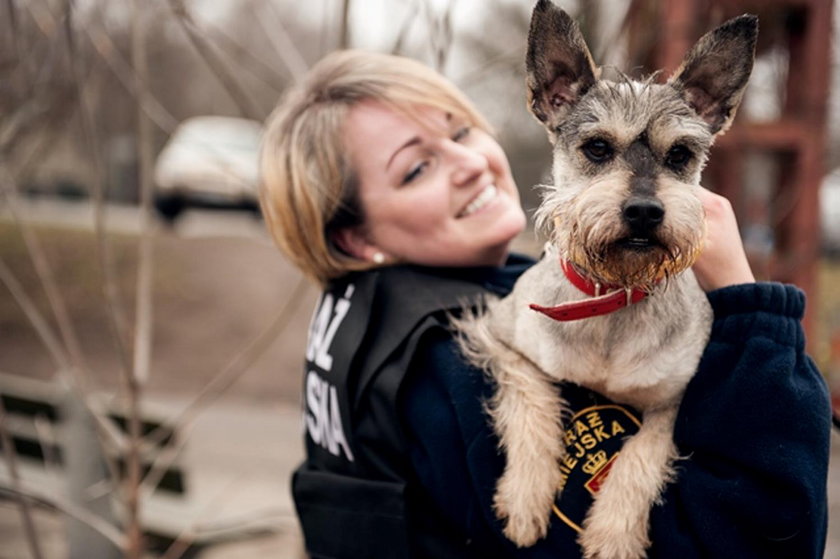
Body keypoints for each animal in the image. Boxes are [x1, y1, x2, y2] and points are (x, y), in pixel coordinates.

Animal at [456, 2, 756, 556]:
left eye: (680, 155)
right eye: (597, 148)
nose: (644, 211)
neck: (611, 295)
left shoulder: (673, 401)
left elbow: (642, 456)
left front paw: (614, 533)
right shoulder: (500, 338)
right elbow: (533, 402)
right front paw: (526, 497)